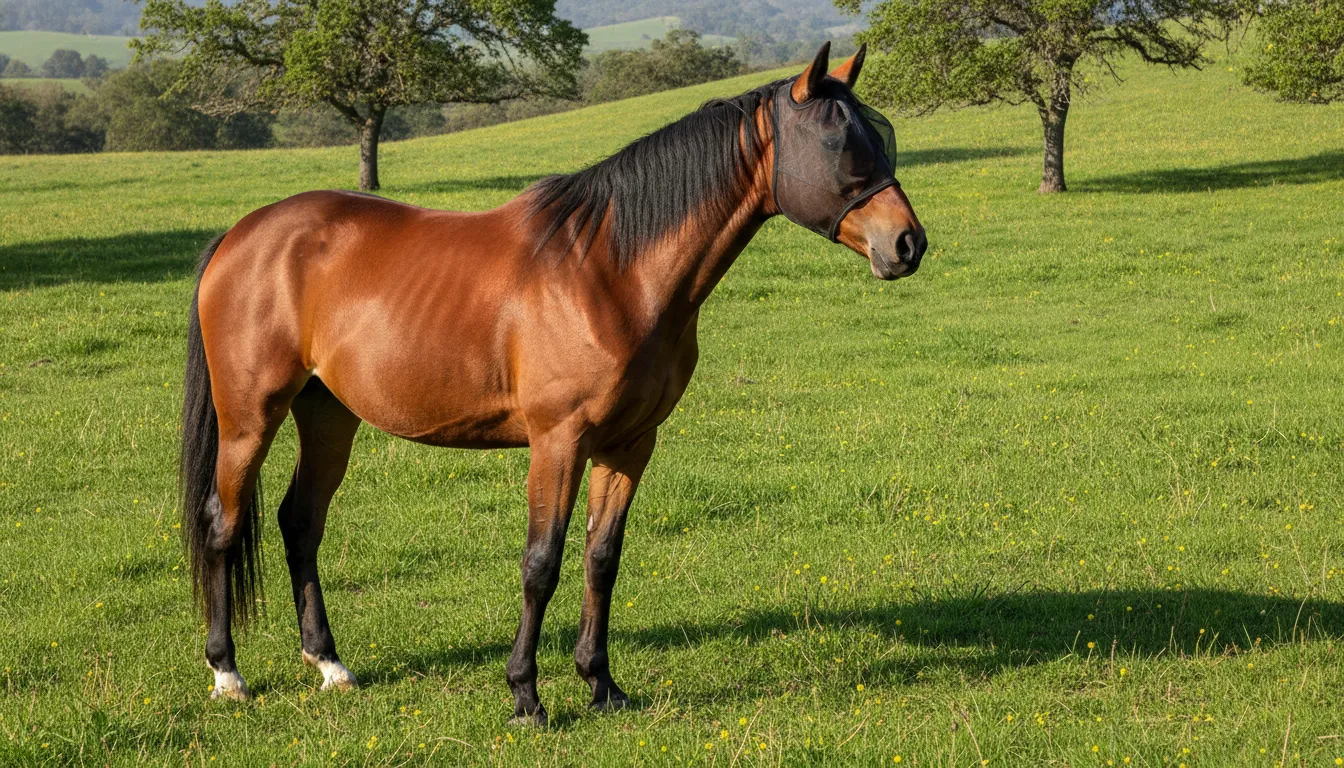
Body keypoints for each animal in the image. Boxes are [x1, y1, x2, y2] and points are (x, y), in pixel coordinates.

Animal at [179, 42, 927, 725]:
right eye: (840, 144)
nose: (907, 245)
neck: (612, 270)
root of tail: (242, 236)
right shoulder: (557, 442)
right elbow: (542, 562)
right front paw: (525, 698)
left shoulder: (629, 444)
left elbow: (602, 558)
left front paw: (602, 685)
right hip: (251, 417)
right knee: (223, 524)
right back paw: (226, 675)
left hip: (329, 413)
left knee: (301, 522)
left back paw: (330, 664)